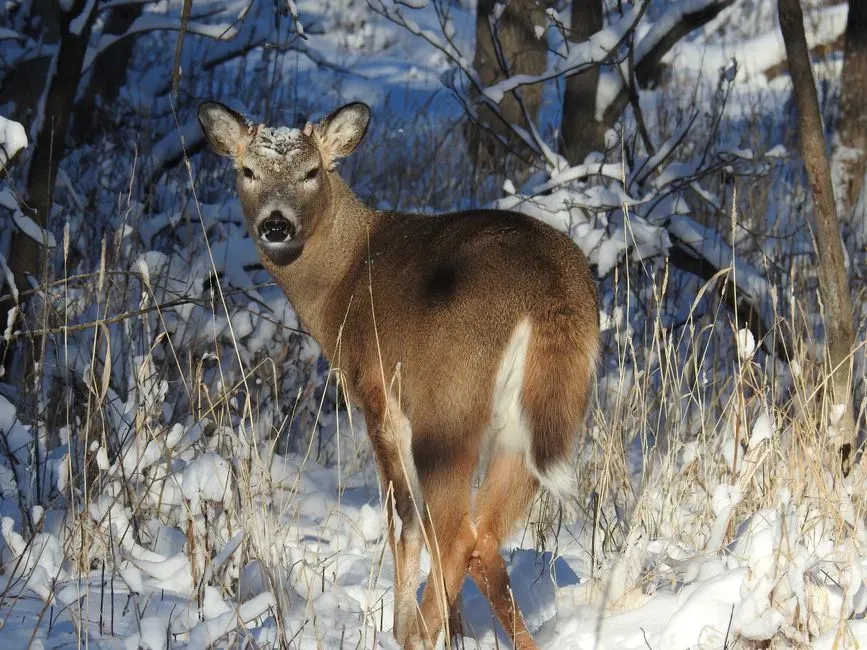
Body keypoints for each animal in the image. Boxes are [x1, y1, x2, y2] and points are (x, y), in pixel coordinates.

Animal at [198, 99, 600, 650]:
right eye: (247, 171)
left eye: (311, 171)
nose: (276, 225)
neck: (342, 281)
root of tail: (549, 296)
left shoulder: (375, 392)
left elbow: (403, 519)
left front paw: (402, 626)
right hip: (537, 421)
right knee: (485, 533)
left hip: (446, 406)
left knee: (456, 530)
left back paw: (418, 636)